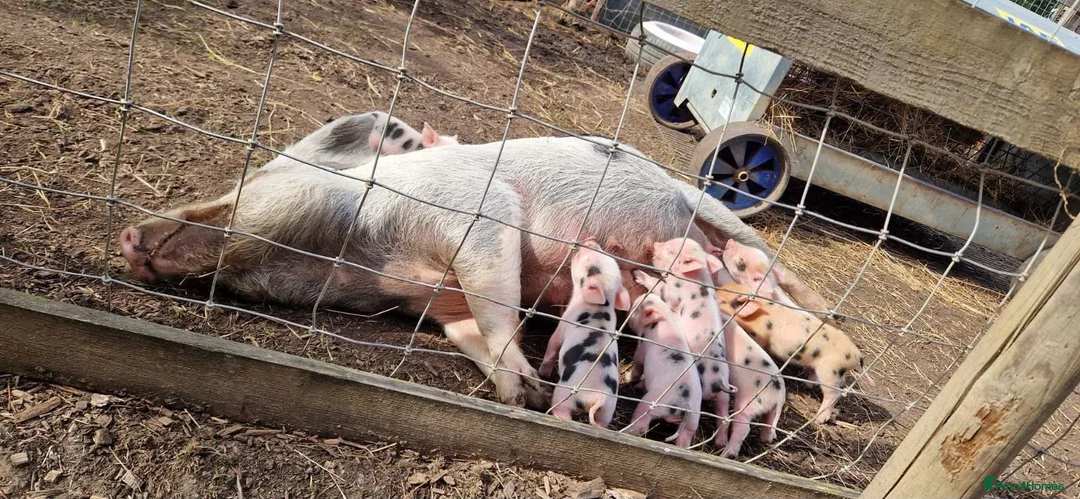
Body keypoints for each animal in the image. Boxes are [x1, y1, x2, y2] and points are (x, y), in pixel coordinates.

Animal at [538, 237, 630, 428]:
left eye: (590, 264)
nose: (591, 239)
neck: (601, 305)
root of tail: (597, 397)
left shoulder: (564, 324)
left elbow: (552, 345)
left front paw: (542, 373)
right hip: (608, 410)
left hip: (565, 394)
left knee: (562, 410)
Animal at [624, 290, 703, 448]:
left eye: (636, 307)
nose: (640, 296)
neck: (665, 316)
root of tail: (684, 403)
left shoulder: (641, 347)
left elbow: (638, 365)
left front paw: (627, 377)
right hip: (693, 420)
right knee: (684, 439)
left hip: (652, 403)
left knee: (642, 425)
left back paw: (627, 431)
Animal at [715, 283, 867, 424]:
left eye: (722, 300)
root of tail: (857, 354)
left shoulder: (760, 336)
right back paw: (807, 385)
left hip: (831, 371)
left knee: (834, 393)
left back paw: (819, 419)